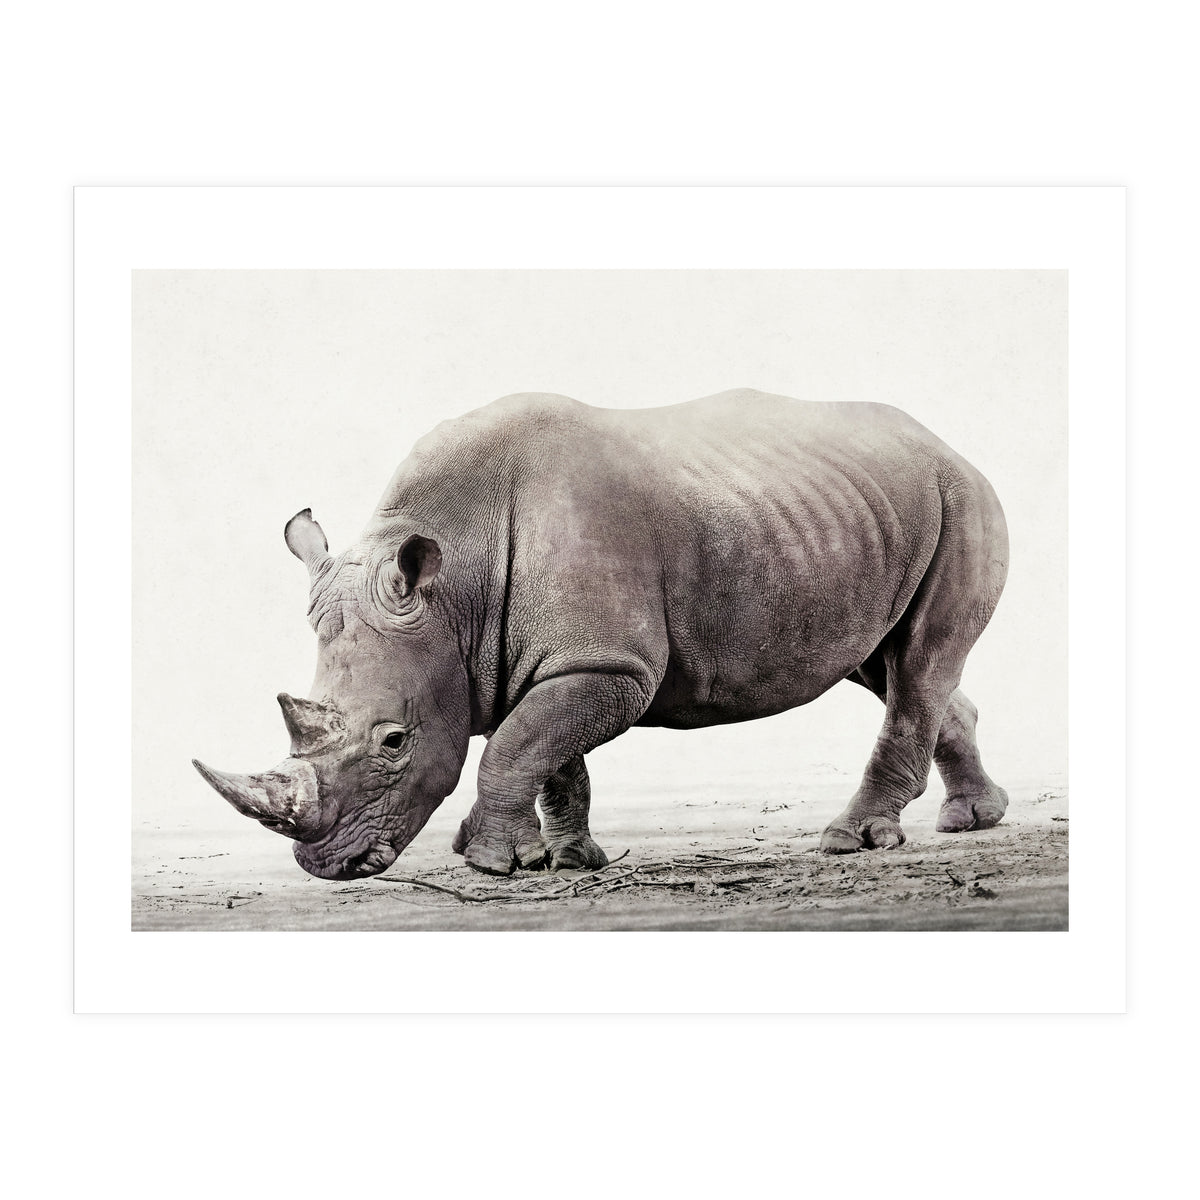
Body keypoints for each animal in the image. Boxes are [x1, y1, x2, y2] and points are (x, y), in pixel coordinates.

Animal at [193, 388, 1010, 880]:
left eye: (394, 741)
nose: (326, 864)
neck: (456, 586)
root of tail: (947, 444)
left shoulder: (609, 664)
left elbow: (519, 744)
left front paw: (490, 864)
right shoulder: (554, 659)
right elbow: (550, 753)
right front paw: (568, 859)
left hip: (962, 499)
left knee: (918, 663)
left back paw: (853, 840)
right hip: (857, 514)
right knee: (889, 665)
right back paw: (972, 820)